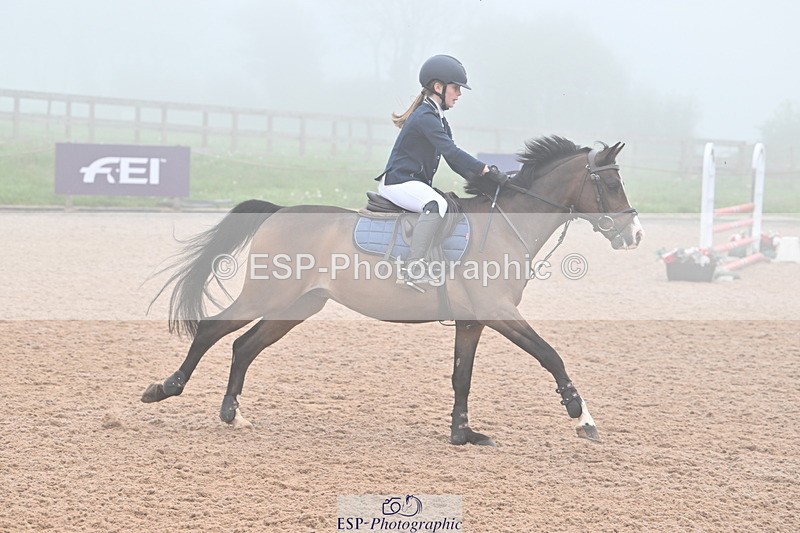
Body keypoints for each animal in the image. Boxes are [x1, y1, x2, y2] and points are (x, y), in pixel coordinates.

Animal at [142, 136, 644, 445]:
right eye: (612, 183)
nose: (635, 235)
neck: (505, 226)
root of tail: (281, 210)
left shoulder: (473, 321)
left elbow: (462, 376)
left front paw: (463, 435)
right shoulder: (498, 312)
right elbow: (550, 355)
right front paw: (582, 418)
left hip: (298, 305)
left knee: (244, 346)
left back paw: (232, 413)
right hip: (267, 295)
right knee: (211, 331)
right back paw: (165, 389)